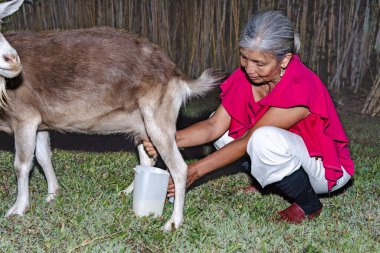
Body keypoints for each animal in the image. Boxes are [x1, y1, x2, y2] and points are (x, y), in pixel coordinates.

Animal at [0, 16, 223, 230]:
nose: (12, 60)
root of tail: (175, 73)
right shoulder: (40, 122)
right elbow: (43, 156)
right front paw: (52, 194)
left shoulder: (24, 118)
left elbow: (22, 165)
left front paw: (17, 209)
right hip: (141, 122)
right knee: (147, 159)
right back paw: (129, 192)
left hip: (158, 118)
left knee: (179, 168)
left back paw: (174, 221)